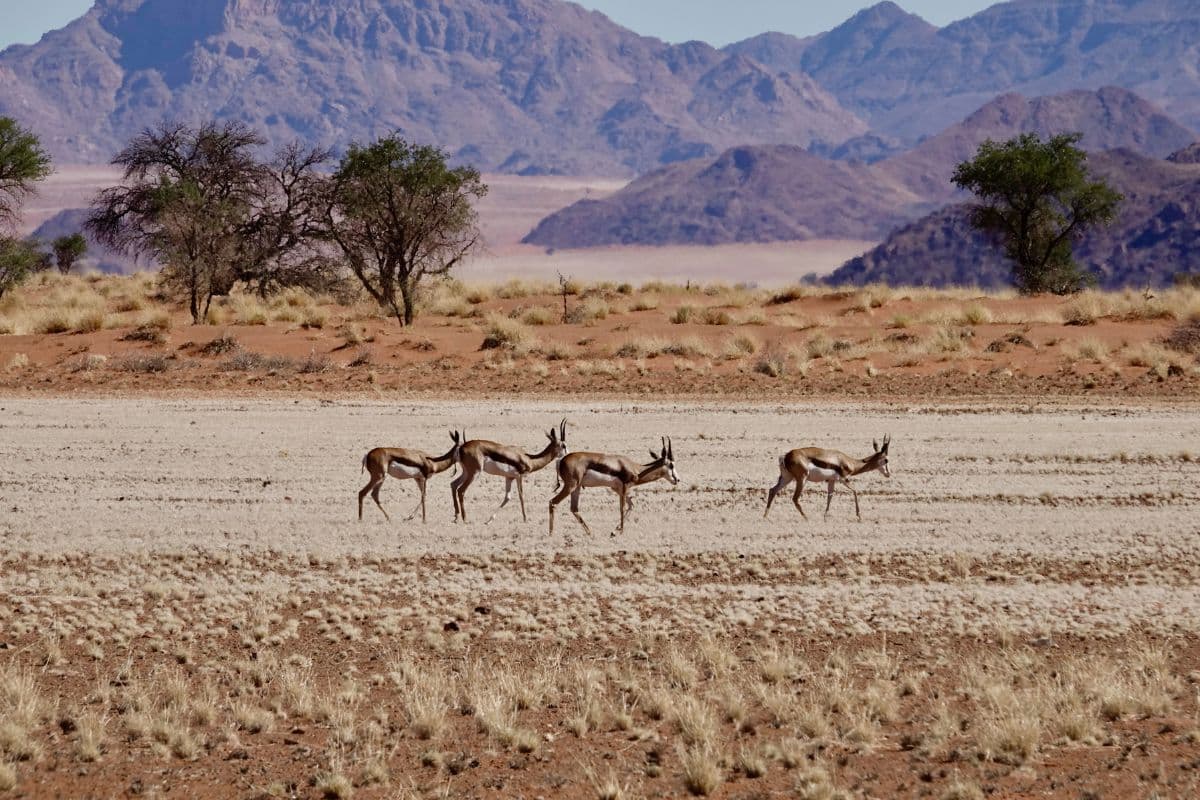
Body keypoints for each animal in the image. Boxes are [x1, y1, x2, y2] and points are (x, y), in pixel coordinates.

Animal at [549, 437, 680, 536]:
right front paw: (621, 532)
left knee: (574, 508)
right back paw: (551, 534)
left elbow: (631, 506)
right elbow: (622, 508)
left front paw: (615, 531)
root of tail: (561, 460)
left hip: (576, 488)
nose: (677, 479)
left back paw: (590, 533)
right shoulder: (625, 487)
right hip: (570, 486)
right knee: (553, 502)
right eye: (671, 465)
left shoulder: (617, 489)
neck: (635, 469)